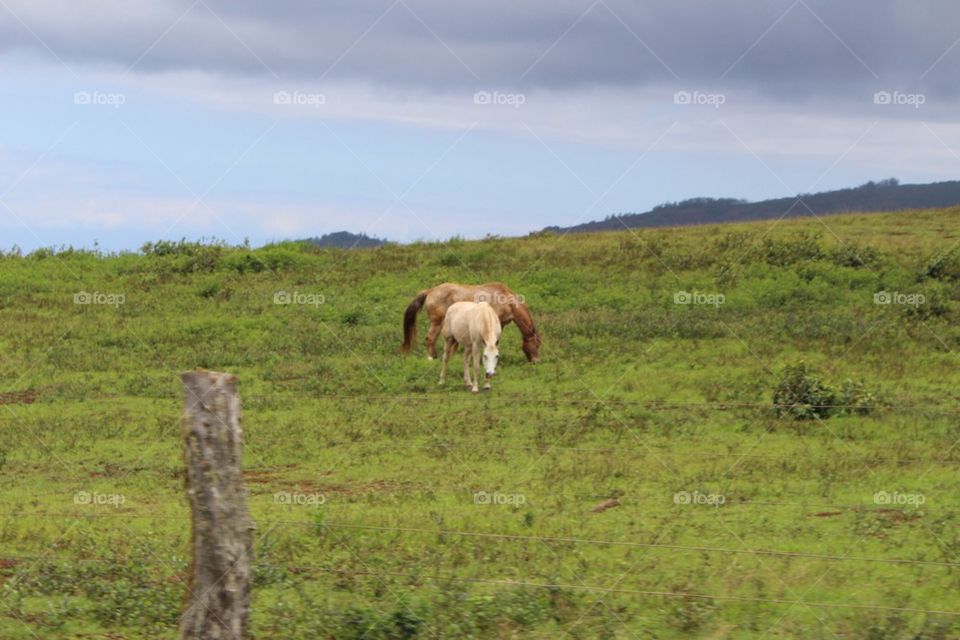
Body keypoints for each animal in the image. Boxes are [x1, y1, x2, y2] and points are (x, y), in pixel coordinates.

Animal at [401, 282, 541, 363]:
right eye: (537, 345)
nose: (537, 361)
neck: (506, 300)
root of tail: (430, 291)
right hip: (437, 322)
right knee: (430, 338)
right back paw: (431, 358)